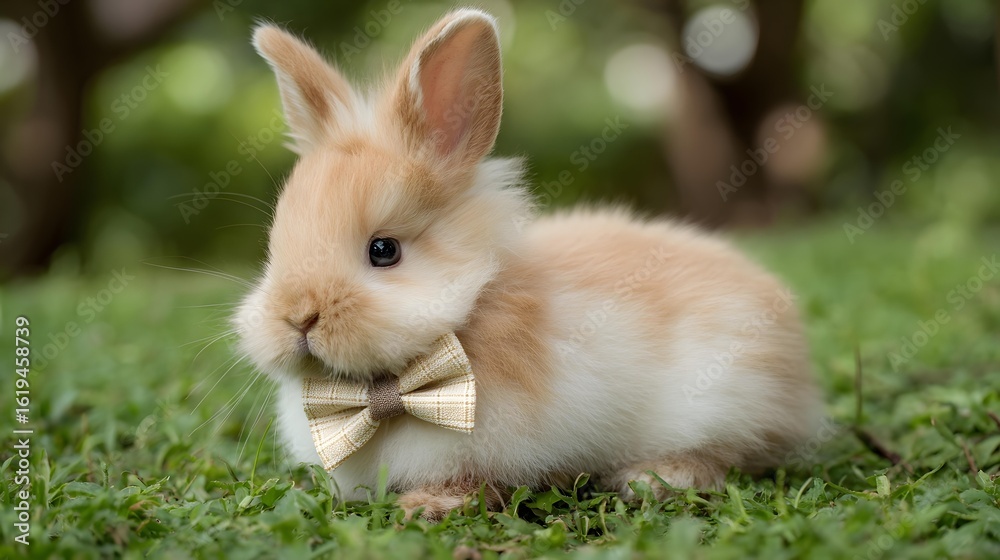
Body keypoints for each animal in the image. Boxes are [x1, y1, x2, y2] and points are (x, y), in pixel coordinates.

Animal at [235, 8, 822, 521]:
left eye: (384, 250)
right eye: (274, 248)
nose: (296, 318)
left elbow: (474, 480)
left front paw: (428, 505)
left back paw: (654, 478)